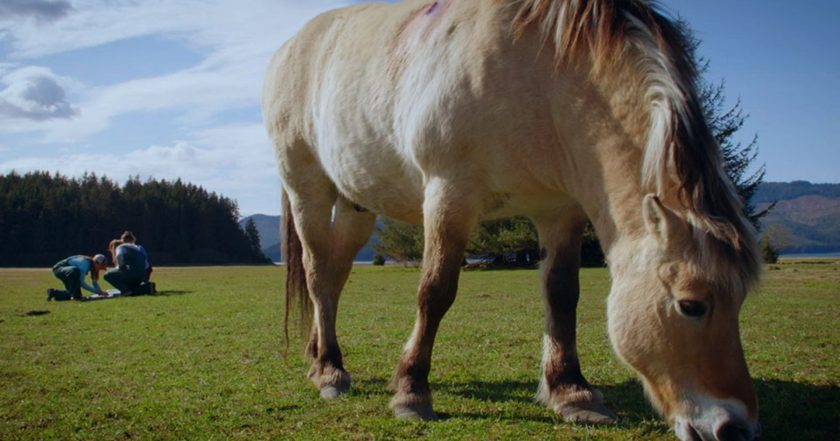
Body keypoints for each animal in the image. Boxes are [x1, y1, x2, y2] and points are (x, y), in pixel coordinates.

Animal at [262, 0, 760, 440]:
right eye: (691, 305)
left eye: (740, 301)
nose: (734, 428)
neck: (541, 70)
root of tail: (290, 46)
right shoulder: (449, 194)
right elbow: (435, 292)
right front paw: (411, 391)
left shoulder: (560, 210)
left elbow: (562, 295)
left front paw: (572, 393)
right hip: (308, 190)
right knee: (317, 275)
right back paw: (330, 370)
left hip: (354, 205)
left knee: (335, 276)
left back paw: (319, 356)